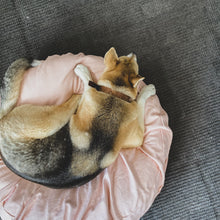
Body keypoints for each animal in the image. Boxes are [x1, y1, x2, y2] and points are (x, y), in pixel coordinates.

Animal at [0, 47, 156, 187]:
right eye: (124, 59)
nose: (133, 53)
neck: (115, 94)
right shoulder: (136, 138)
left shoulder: (137, 138)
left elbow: (137, 103)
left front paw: (147, 91)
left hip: (52, 119)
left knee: (75, 98)